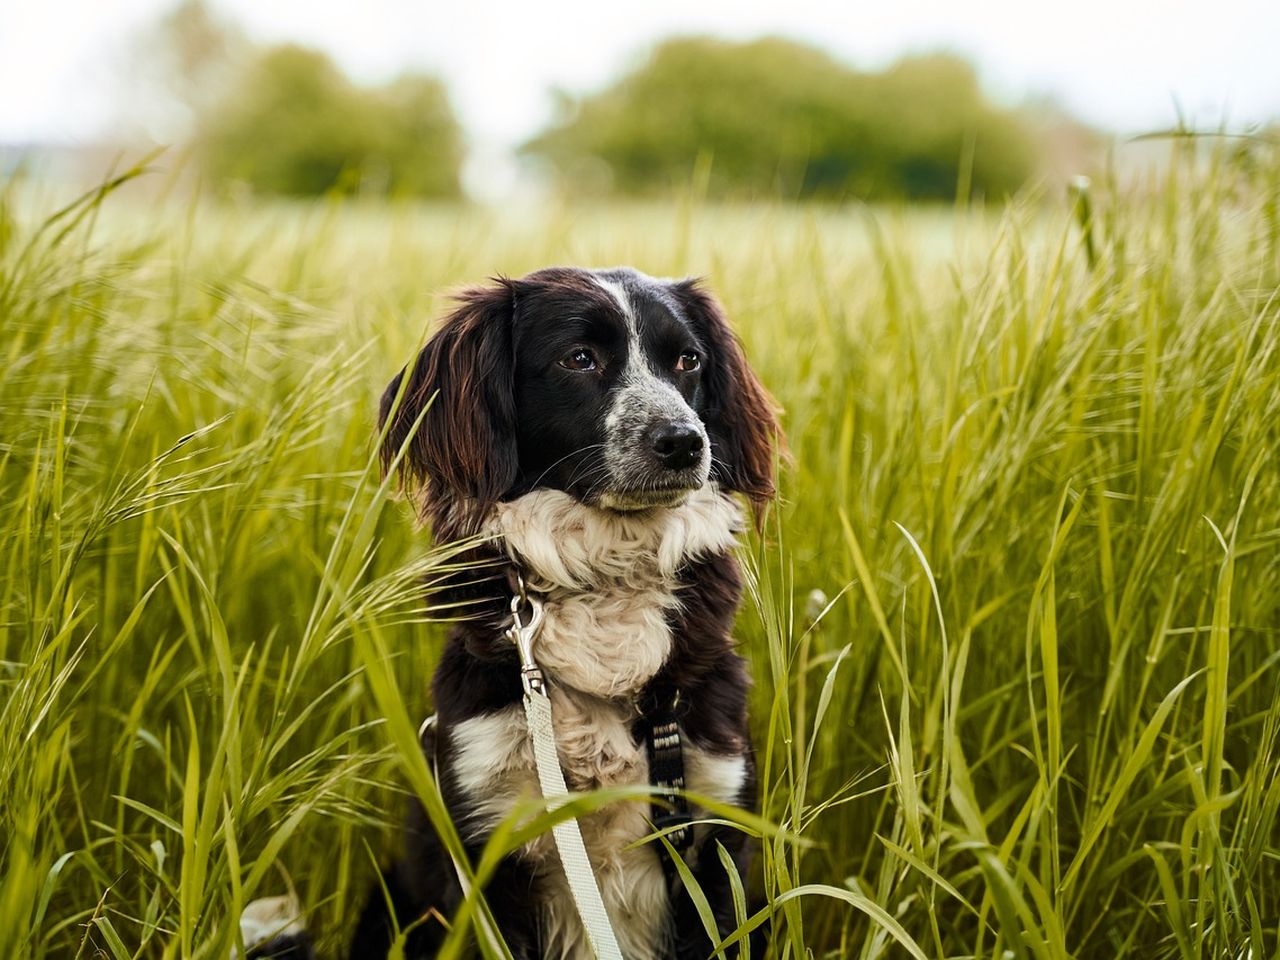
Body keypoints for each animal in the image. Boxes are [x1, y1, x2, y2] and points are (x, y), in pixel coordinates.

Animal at [343, 264, 778, 960]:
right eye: (579, 359)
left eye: (688, 361)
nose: (686, 442)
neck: (608, 578)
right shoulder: (487, 840)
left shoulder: (713, 827)